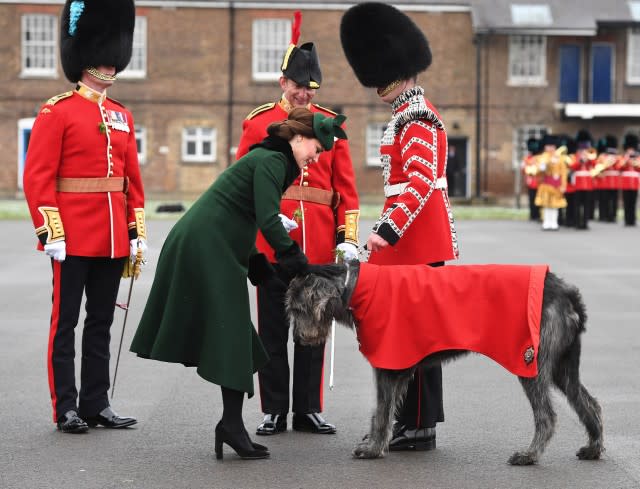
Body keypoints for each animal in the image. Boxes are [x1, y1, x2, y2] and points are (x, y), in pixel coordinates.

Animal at [288, 260, 604, 462]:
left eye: (297, 309)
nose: (298, 338)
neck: (357, 287)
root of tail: (568, 293)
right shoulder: (400, 365)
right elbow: (386, 410)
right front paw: (380, 443)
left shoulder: (387, 366)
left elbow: (381, 411)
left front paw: (373, 448)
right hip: (563, 365)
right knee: (588, 402)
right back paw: (593, 448)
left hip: (531, 362)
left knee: (546, 416)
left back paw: (529, 455)